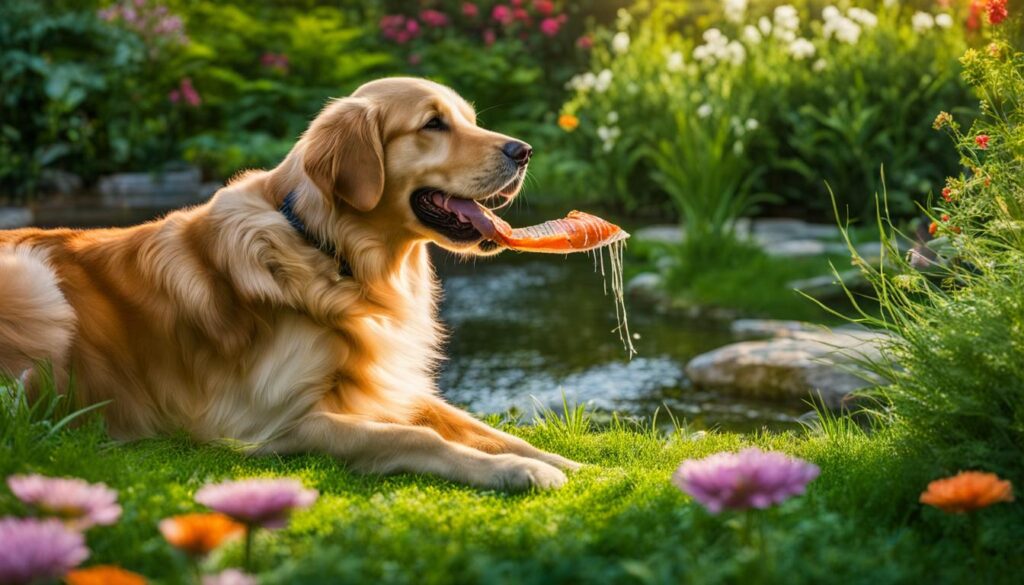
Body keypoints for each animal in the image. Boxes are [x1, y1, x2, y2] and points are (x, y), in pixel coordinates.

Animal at [0, 76, 577, 489]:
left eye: (468, 120)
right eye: (433, 125)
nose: (523, 151)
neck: (332, 253)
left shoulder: (386, 384)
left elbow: (480, 427)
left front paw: (565, 462)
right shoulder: (267, 423)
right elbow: (416, 438)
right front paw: (520, 472)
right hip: (33, 281)